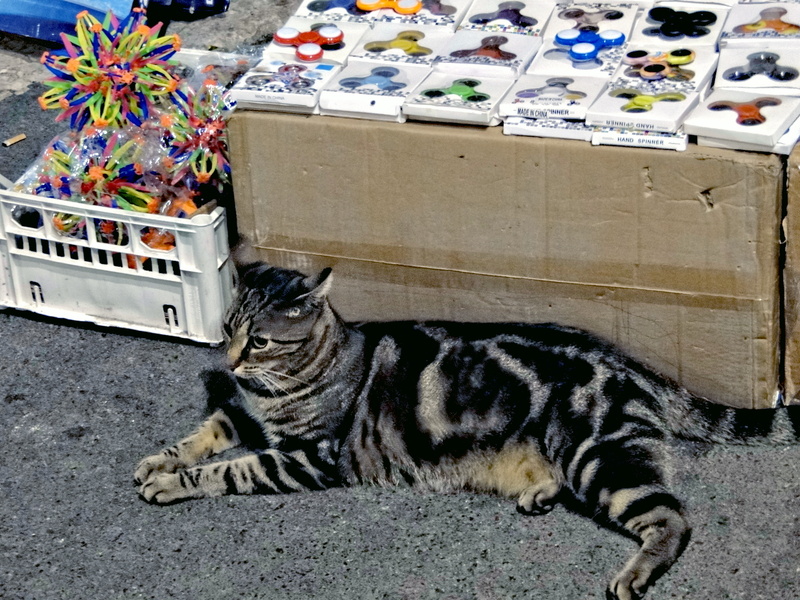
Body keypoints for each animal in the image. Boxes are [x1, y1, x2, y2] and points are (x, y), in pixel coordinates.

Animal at [134, 262, 796, 600]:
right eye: (227, 327)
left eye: (262, 341)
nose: (229, 360)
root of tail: (630, 361)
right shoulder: (242, 415)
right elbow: (204, 433)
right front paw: (159, 461)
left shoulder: (307, 455)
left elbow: (230, 467)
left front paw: (173, 482)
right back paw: (537, 492)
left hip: (597, 457)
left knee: (673, 520)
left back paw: (632, 575)